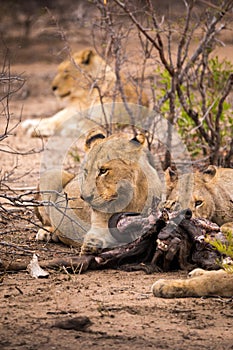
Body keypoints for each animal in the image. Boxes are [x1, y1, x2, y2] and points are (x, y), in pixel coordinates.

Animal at [20, 47, 148, 137]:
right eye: (59, 71)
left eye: (66, 72)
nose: (53, 87)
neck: (85, 97)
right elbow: (58, 122)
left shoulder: (103, 122)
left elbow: (76, 126)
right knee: (53, 119)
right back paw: (28, 124)